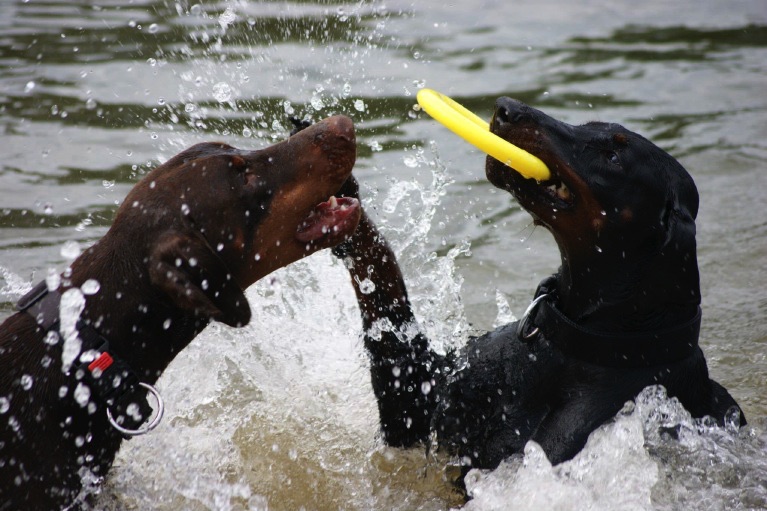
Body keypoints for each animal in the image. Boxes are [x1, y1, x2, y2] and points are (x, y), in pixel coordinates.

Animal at [332, 99, 748, 484]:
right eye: (587, 125)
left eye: (613, 156)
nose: (507, 108)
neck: (569, 347)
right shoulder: (422, 402)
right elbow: (388, 310)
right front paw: (344, 205)